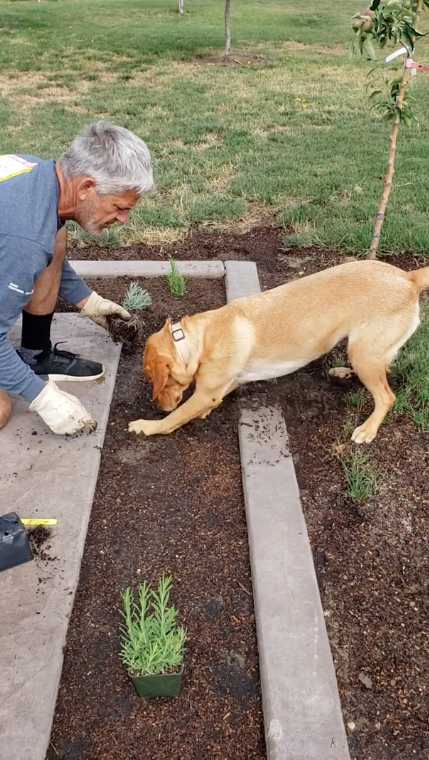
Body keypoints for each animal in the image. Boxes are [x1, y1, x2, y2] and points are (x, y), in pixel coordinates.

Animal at [128, 260, 428, 442]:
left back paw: (368, 428)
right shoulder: (224, 383)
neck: (197, 339)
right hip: (364, 351)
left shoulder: (206, 392)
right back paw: (344, 372)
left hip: (363, 353)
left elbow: (174, 418)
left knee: (386, 396)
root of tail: (407, 277)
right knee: (384, 367)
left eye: (154, 381)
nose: (158, 406)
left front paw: (147, 425)